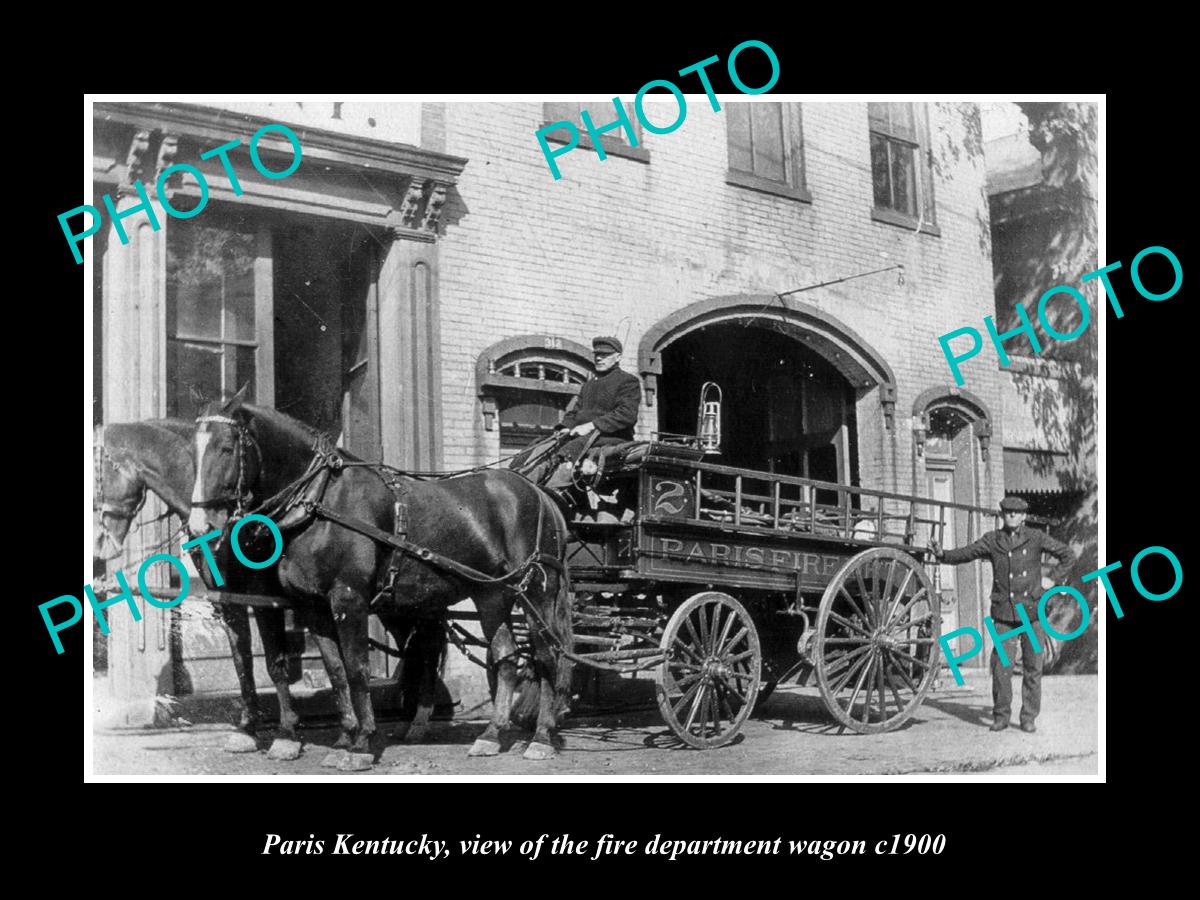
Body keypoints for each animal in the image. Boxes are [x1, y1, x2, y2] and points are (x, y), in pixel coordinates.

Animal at [189, 393, 573, 768]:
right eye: (193, 451)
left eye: (226, 447)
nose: (199, 525)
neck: (320, 501)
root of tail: (541, 495)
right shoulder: (314, 606)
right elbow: (336, 671)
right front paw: (344, 738)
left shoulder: (348, 599)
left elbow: (357, 669)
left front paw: (361, 744)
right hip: (491, 595)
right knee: (506, 656)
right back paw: (491, 735)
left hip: (536, 593)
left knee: (547, 655)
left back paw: (541, 737)